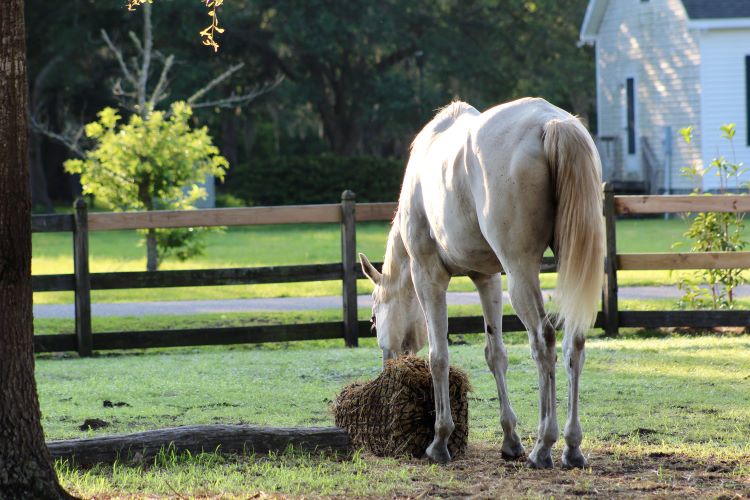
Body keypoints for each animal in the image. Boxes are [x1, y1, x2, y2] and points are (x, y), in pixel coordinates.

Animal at [358, 97, 604, 468]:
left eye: (373, 319)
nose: (388, 365)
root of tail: (551, 123)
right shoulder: (486, 278)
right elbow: (495, 354)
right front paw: (510, 440)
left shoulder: (428, 275)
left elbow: (439, 356)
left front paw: (440, 441)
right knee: (573, 343)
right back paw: (571, 447)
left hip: (520, 272)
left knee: (543, 340)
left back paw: (543, 446)